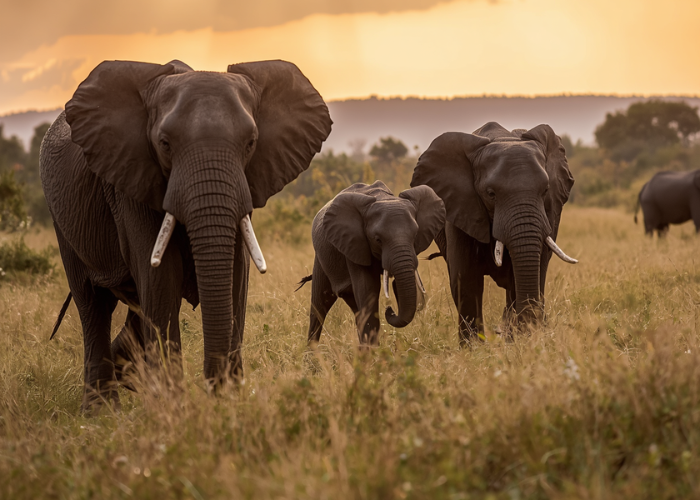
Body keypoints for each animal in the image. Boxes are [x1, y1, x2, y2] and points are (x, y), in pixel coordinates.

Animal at [40, 59, 332, 411]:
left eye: (251, 143)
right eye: (164, 144)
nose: (214, 391)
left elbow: (235, 277)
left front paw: (228, 403)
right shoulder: (132, 180)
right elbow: (161, 279)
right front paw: (176, 411)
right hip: (61, 219)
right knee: (93, 303)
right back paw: (100, 411)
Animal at [302, 180, 445, 345]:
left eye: (415, 235)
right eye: (378, 240)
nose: (390, 309)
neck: (383, 198)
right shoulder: (354, 244)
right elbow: (367, 290)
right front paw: (375, 352)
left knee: (356, 310)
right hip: (321, 259)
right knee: (320, 306)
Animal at [411, 122, 577, 344]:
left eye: (545, 191)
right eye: (491, 194)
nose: (535, 330)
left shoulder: (550, 213)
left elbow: (530, 272)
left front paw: (516, 340)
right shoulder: (461, 208)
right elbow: (465, 279)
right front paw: (473, 349)